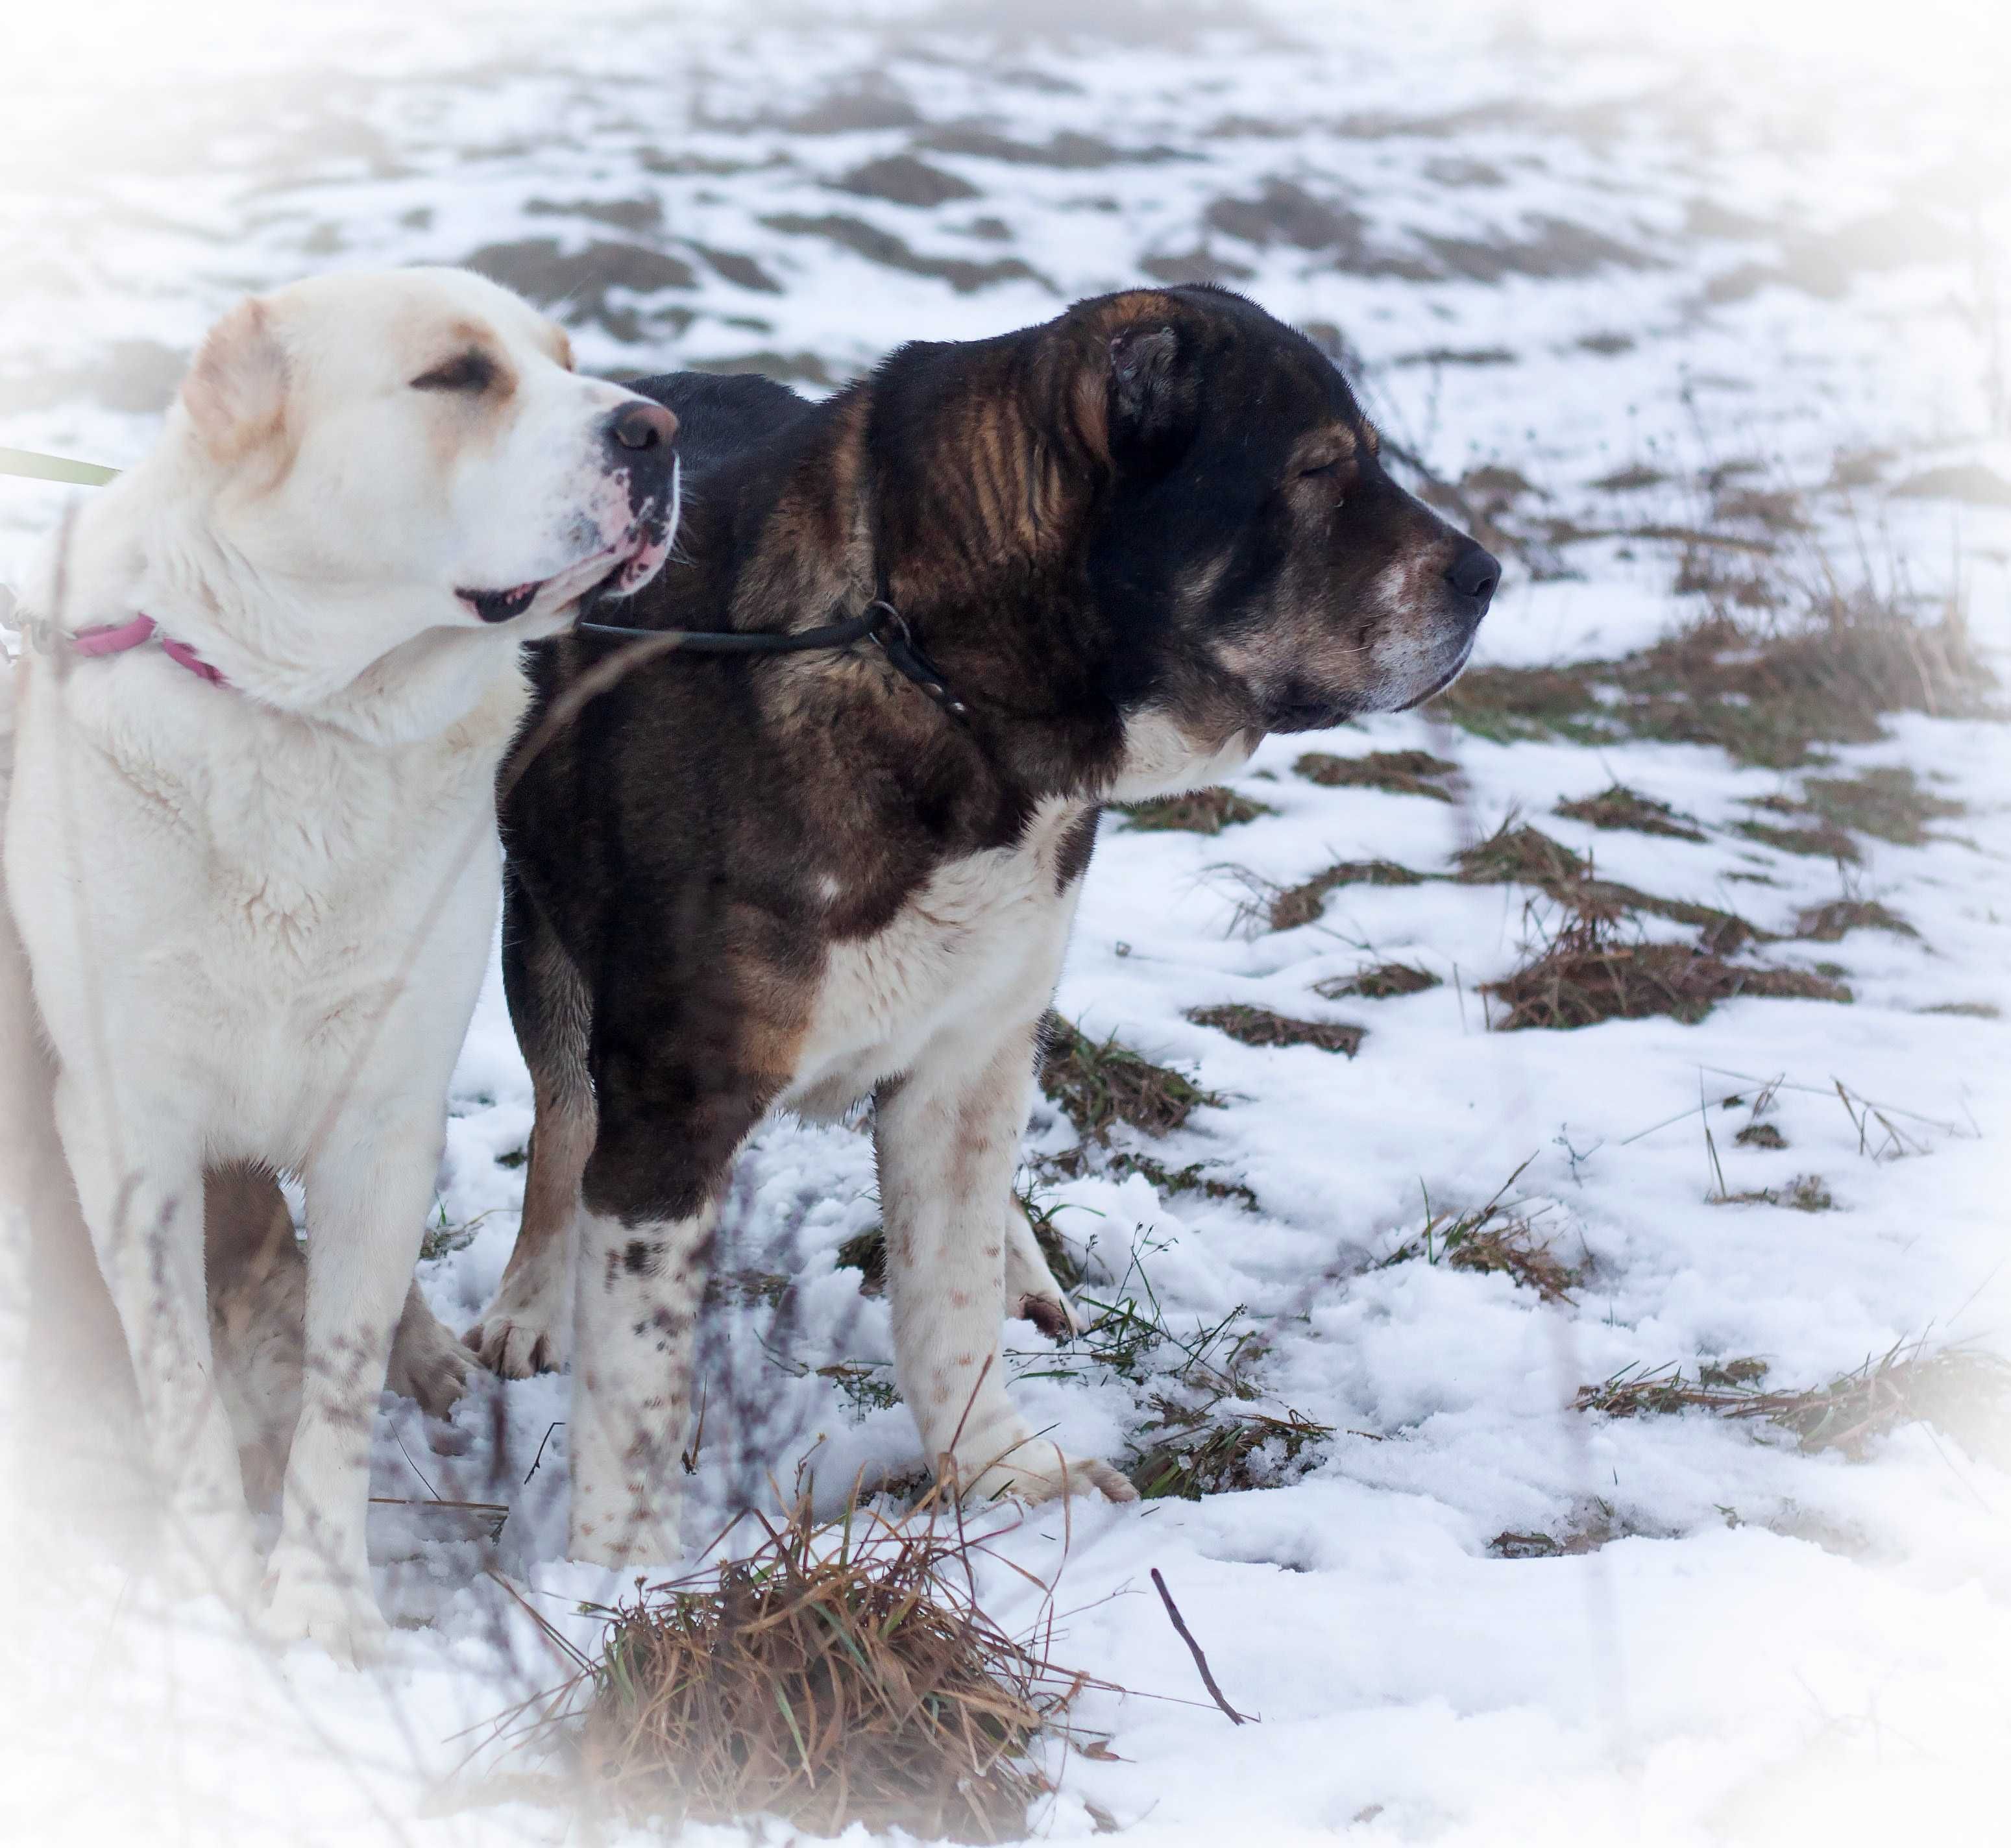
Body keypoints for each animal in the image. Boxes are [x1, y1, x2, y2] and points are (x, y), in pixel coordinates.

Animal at [0, 271, 679, 1664]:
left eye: (563, 359)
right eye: (458, 376)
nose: (659, 428)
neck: (311, 720)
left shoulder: (383, 1113)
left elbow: (339, 1377)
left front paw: (320, 1607)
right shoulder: (130, 1132)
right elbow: (182, 1386)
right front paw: (208, 1586)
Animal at [466, 289, 1496, 1560]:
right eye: (1316, 469)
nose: (1487, 574)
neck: (931, 673)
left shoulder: (966, 1052)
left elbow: (946, 1298)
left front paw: (1001, 1470)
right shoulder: (671, 1097)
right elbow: (636, 1379)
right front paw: (618, 1575)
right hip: (542, 934)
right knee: (561, 1116)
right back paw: (528, 1300)